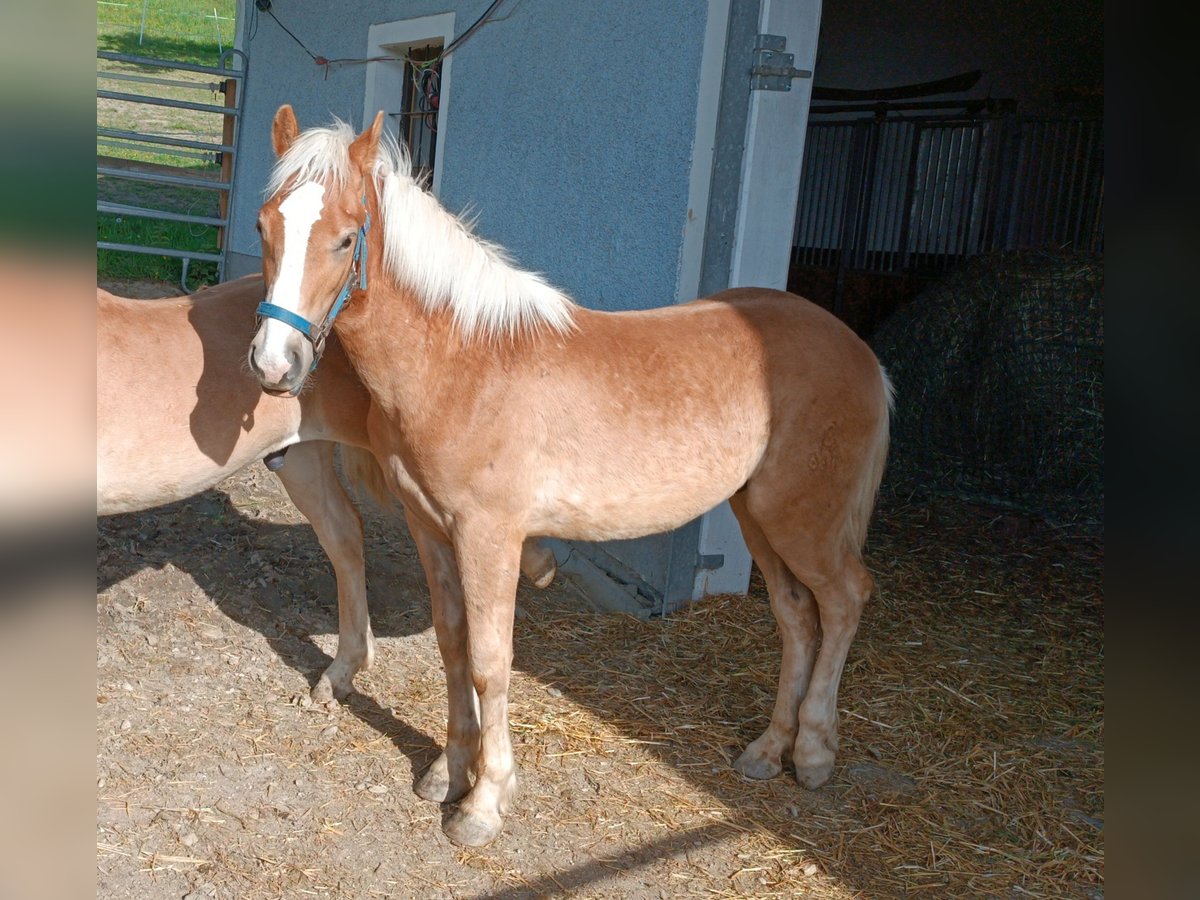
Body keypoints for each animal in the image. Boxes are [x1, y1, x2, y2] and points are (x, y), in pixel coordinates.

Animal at [248, 109, 897, 849]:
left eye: (344, 238)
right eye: (264, 227)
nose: (274, 365)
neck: (462, 363)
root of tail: (862, 354)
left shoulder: (490, 537)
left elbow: (490, 661)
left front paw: (483, 803)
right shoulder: (430, 528)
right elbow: (451, 642)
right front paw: (448, 771)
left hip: (802, 518)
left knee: (844, 600)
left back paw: (813, 753)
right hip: (757, 512)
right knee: (795, 616)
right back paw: (767, 751)